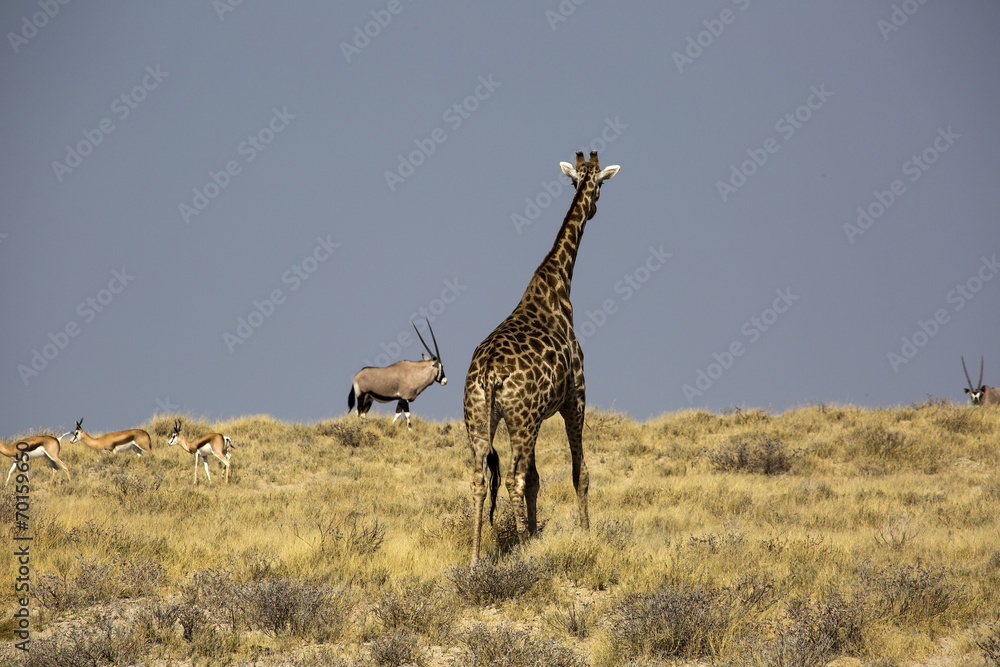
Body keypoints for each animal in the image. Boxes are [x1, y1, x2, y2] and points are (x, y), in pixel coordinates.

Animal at [463, 150, 619, 563]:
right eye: (599, 185)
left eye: (583, 181)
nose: (593, 207)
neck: (559, 285)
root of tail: (488, 374)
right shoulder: (575, 397)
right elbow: (579, 473)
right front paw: (585, 534)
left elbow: (537, 480)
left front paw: (534, 535)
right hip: (523, 419)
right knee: (514, 478)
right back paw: (520, 554)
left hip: (479, 417)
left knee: (479, 478)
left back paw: (475, 558)